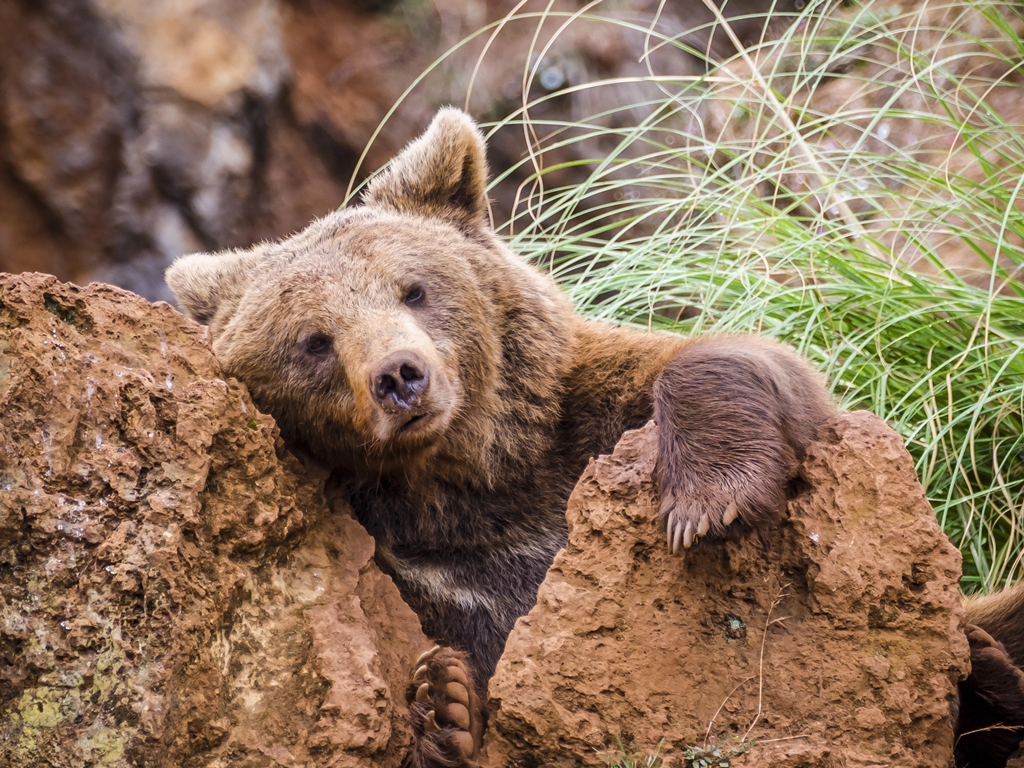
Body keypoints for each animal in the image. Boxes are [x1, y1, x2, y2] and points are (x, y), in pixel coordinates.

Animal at [163, 108, 1019, 768]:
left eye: (413, 287)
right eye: (313, 340)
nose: (401, 376)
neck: (470, 482)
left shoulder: (584, 427)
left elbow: (740, 367)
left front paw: (707, 501)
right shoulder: (412, 566)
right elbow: (449, 641)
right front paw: (441, 706)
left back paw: (989, 667)